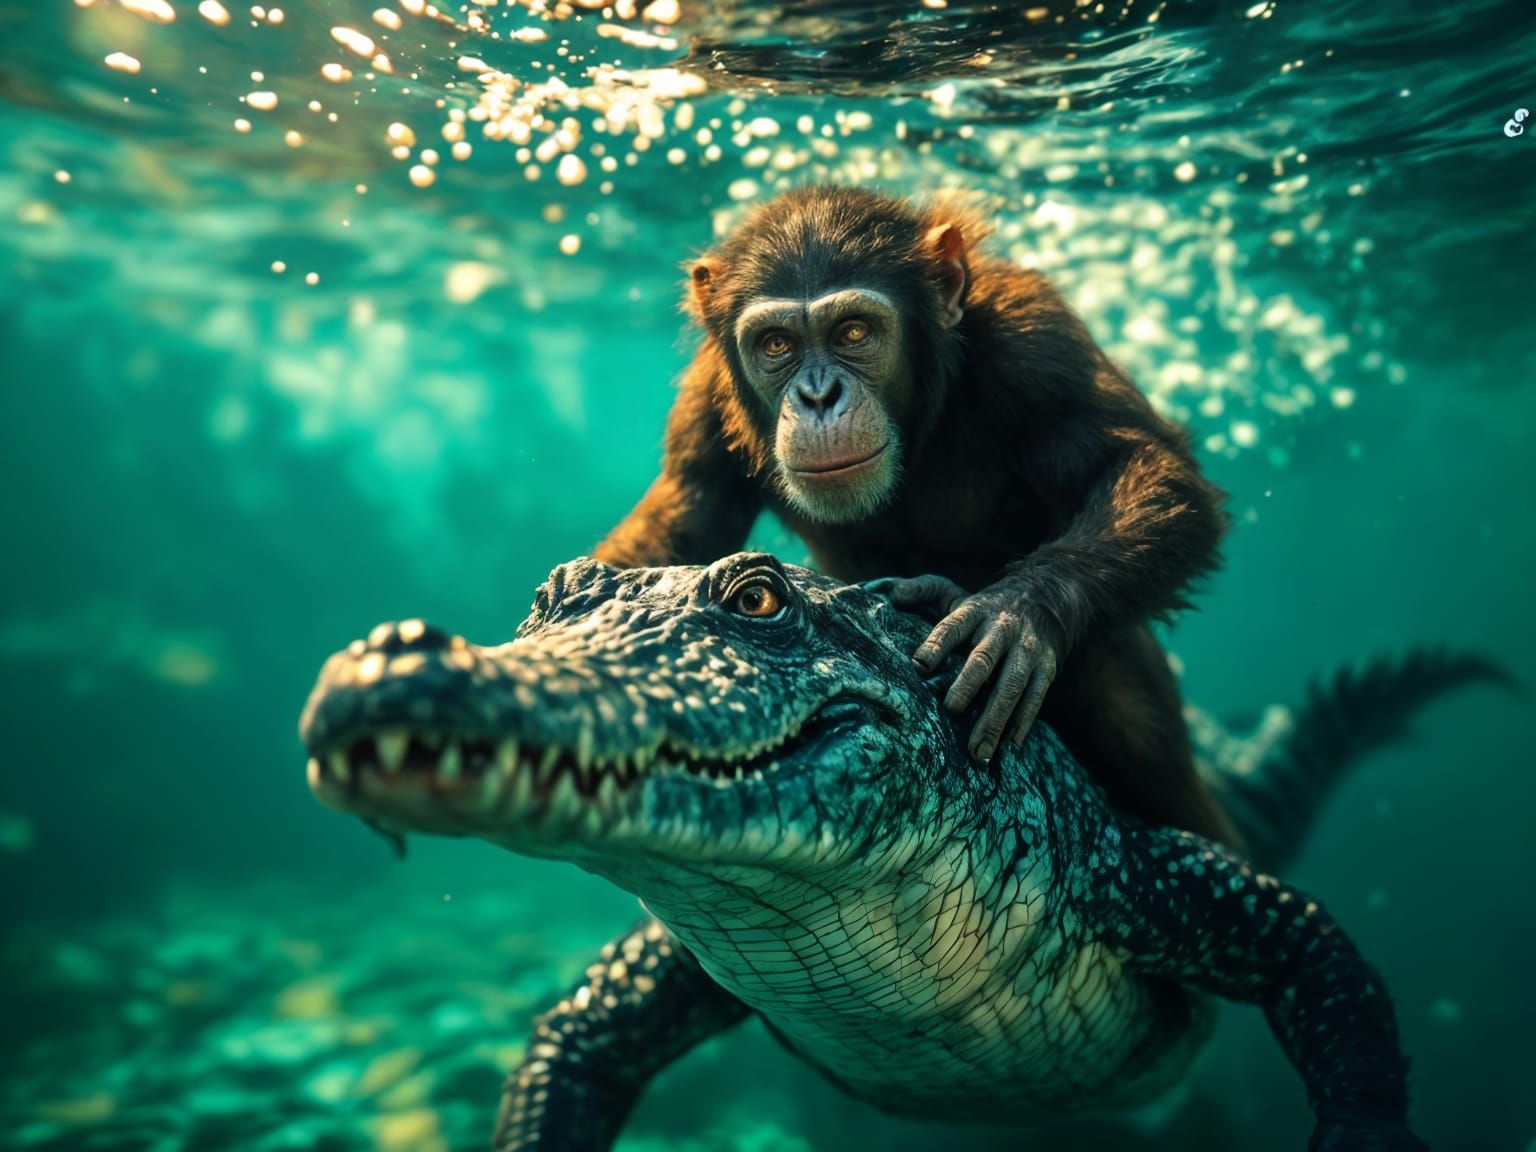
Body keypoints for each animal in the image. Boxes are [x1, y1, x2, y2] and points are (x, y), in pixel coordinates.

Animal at [594, 186, 1238, 847]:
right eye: (776, 344)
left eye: (853, 331)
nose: (818, 394)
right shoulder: (704, 396)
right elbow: (686, 520)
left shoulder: (1035, 335)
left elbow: (1137, 462)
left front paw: (1014, 616)